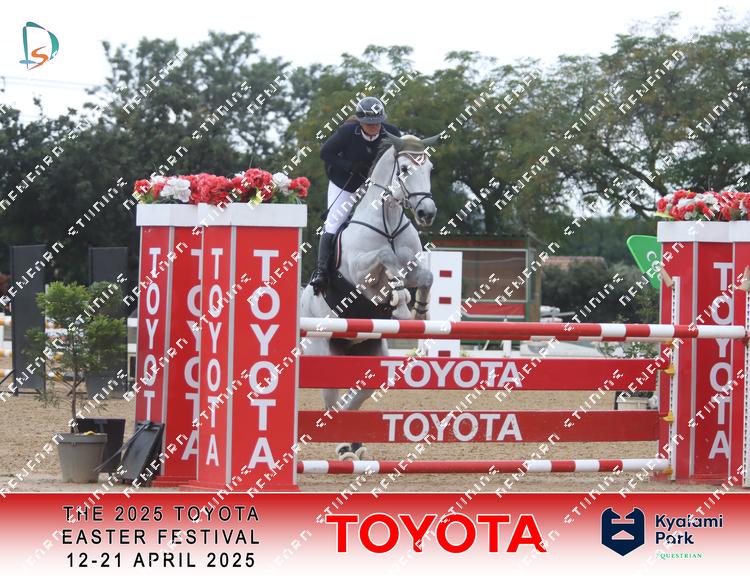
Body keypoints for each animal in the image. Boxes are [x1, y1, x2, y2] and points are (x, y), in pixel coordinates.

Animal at [300, 131, 439, 460]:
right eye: (404, 170)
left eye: (430, 169)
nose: (427, 213)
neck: (387, 221)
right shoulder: (361, 275)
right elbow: (385, 259)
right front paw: (399, 302)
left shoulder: (413, 269)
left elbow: (424, 277)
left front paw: (420, 312)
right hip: (324, 349)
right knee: (331, 399)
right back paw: (342, 448)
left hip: (370, 353)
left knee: (355, 398)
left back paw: (356, 444)